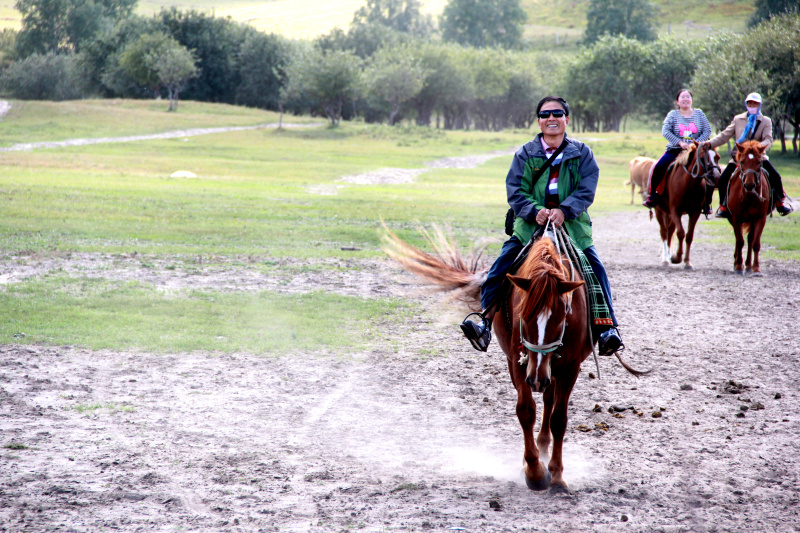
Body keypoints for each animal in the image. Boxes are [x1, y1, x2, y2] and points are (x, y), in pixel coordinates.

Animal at [382, 223, 644, 490]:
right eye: (523, 317)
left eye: (561, 318)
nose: (536, 378)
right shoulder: (517, 363)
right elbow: (526, 411)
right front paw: (534, 472)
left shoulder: (569, 367)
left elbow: (559, 419)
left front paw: (556, 474)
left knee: (549, 401)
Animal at [652, 140, 720, 268]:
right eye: (702, 157)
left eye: (717, 157)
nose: (717, 178)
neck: (688, 183)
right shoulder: (675, 210)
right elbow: (680, 233)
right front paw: (677, 257)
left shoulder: (695, 212)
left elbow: (689, 236)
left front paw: (687, 262)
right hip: (660, 210)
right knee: (664, 232)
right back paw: (665, 259)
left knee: (670, 231)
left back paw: (669, 255)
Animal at [728, 139, 772, 276]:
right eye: (742, 162)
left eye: (759, 162)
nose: (749, 185)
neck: (749, 197)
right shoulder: (736, 218)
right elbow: (739, 241)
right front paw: (738, 266)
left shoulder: (760, 218)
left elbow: (755, 243)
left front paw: (756, 268)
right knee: (740, 239)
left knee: (750, 239)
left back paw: (748, 265)